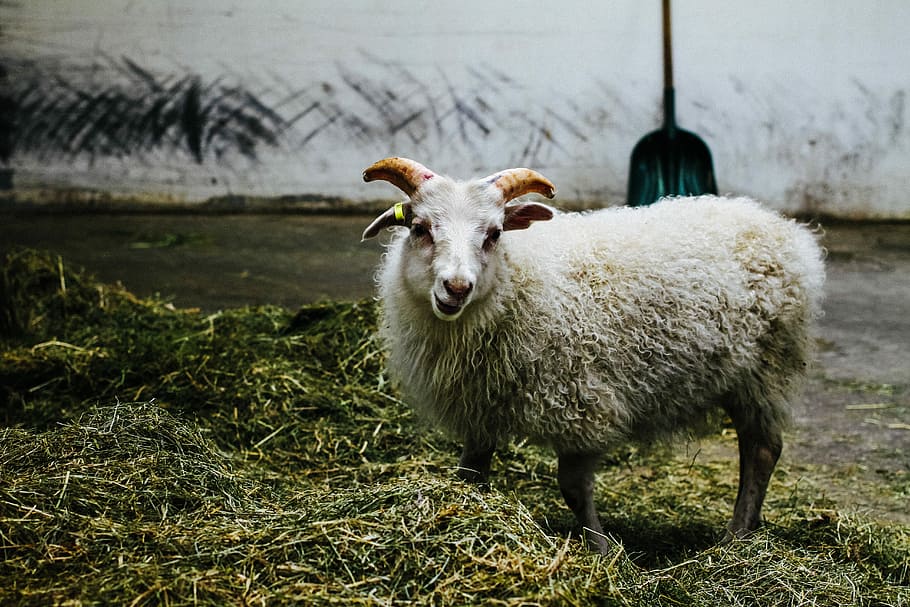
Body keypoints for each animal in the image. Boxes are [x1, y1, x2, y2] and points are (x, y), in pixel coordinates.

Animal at [360, 156, 825, 554]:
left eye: (494, 234)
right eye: (419, 228)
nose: (456, 288)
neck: (517, 279)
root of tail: (785, 229)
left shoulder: (581, 401)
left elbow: (572, 487)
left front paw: (599, 548)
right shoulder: (482, 403)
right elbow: (470, 473)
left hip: (765, 370)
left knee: (762, 450)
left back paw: (736, 537)